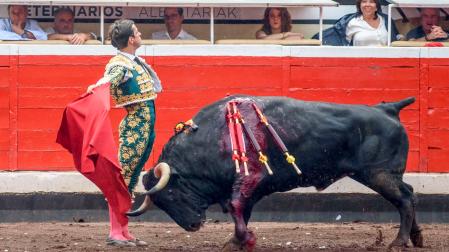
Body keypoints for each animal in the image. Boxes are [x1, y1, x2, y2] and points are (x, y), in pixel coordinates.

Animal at [128, 95, 422, 250]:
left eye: (171, 194)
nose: (192, 226)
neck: (213, 137)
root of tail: (387, 108)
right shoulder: (247, 186)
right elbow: (241, 211)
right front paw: (235, 241)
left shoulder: (250, 178)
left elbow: (236, 206)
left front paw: (244, 240)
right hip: (384, 175)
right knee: (409, 194)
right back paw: (416, 237)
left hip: (379, 174)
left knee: (405, 199)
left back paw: (399, 241)